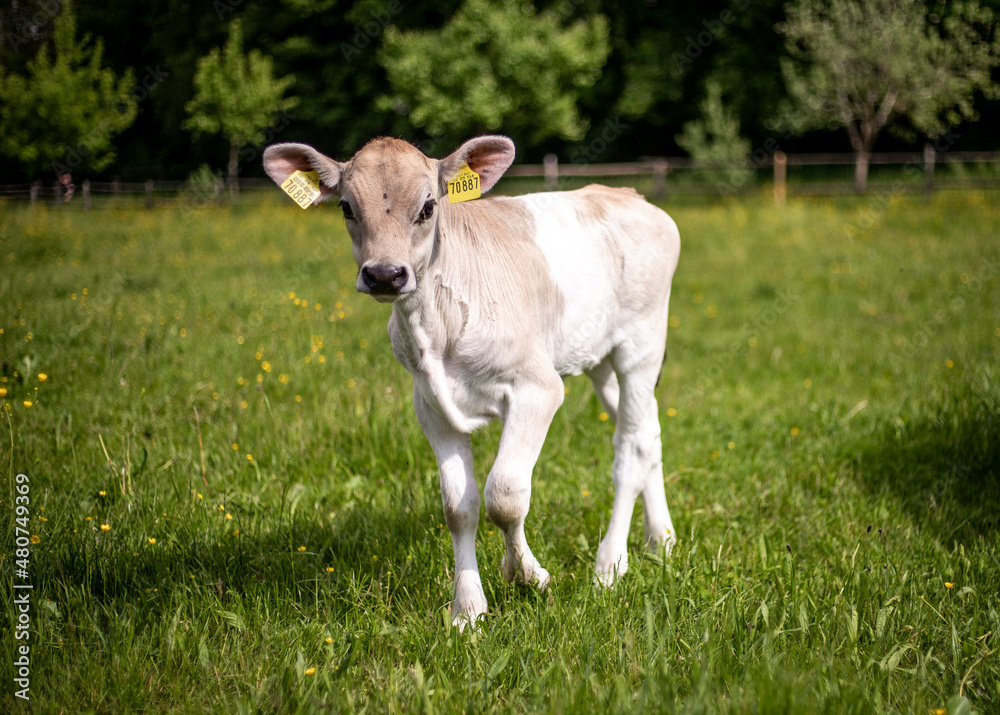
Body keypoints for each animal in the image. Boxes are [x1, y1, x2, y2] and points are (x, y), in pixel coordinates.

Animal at [263, 135, 681, 627]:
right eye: (346, 206)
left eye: (428, 206)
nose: (385, 274)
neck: (435, 326)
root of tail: (627, 195)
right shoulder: (430, 405)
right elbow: (458, 507)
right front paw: (467, 610)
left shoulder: (538, 388)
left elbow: (505, 494)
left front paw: (529, 576)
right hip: (599, 356)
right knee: (649, 432)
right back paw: (661, 539)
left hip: (641, 343)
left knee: (630, 447)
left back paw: (610, 564)